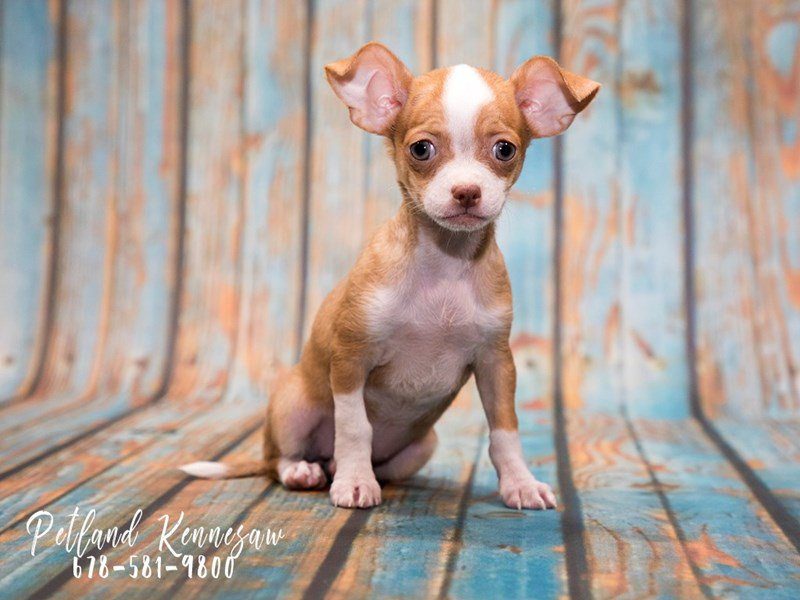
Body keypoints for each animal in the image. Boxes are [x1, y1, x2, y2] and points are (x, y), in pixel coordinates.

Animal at [180, 43, 592, 510]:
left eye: (505, 149)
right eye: (421, 149)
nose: (467, 191)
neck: (444, 265)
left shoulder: (496, 364)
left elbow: (505, 431)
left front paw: (520, 483)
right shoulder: (350, 361)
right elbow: (355, 426)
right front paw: (355, 482)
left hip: (422, 446)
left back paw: (341, 469)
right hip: (293, 403)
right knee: (277, 461)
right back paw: (307, 471)